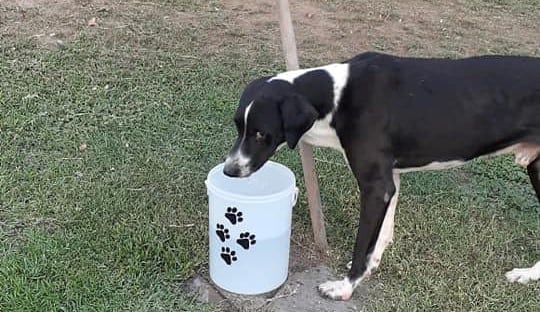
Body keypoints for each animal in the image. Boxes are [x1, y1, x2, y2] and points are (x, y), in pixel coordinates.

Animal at [221, 52, 536, 302]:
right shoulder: (390, 180)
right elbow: (381, 235)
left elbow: (363, 243)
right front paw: (371, 266)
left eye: (261, 133)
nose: (229, 171)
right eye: (238, 127)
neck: (337, 97)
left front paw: (346, 287)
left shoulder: (376, 187)